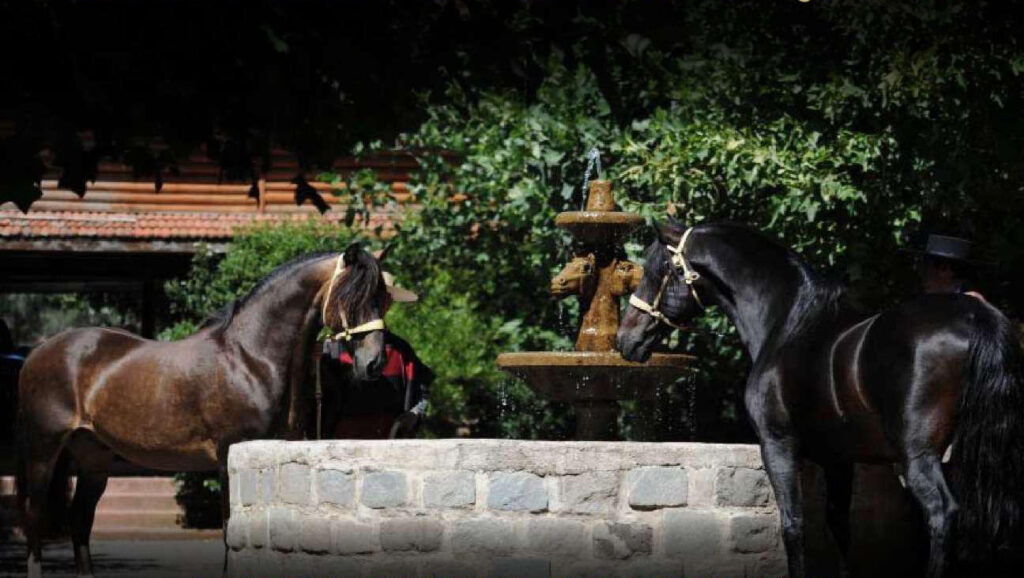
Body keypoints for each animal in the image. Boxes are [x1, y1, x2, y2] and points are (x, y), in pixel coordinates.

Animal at [16, 242, 391, 578]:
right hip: (44, 448)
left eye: (382, 299)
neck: (250, 358)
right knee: (34, 517)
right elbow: (228, 529)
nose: (373, 364)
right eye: (350, 297)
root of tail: (37, 352)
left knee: (80, 521)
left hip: (93, 456)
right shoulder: (228, 455)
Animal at [614, 221, 1024, 578]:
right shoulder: (838, 459)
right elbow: (838, 525)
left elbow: (794, 525)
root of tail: (975, 316)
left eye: (657, 271)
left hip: (919, 456)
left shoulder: (778, 445)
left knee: (942, 513)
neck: (789, 323)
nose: (624, 339)